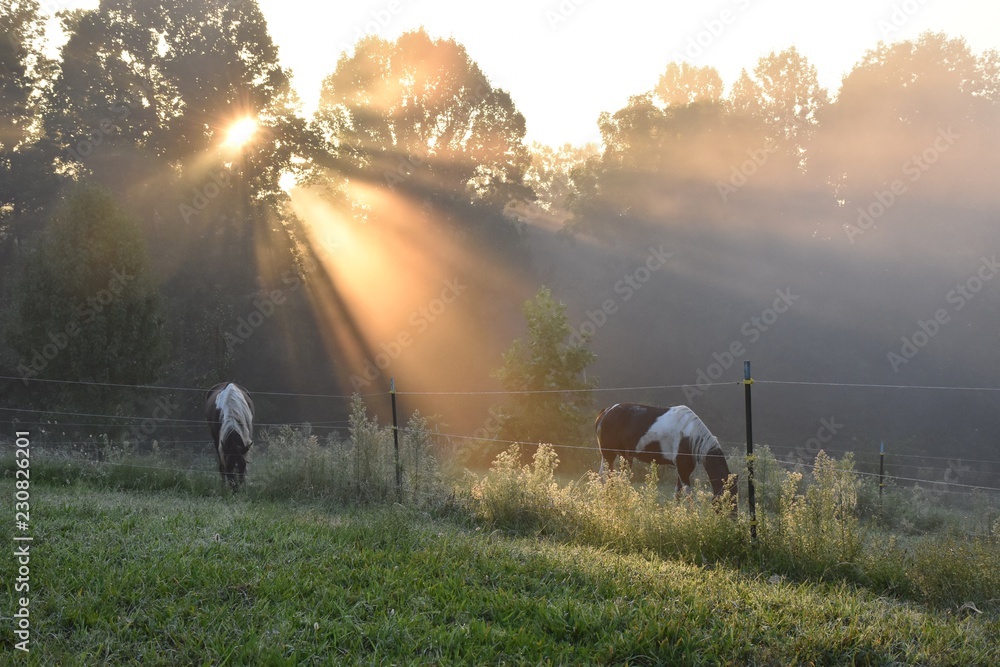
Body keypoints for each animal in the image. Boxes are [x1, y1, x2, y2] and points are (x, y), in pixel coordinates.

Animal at [596, 404, 740, 508]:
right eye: (727, 497)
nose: (732, 519)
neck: (690, 435)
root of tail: (605, 412)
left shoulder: (682, 471)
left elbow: (678, 493)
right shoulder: (683, 470)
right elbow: (688, 494)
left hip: (625, 457)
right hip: (608, 455)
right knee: (606, 477)